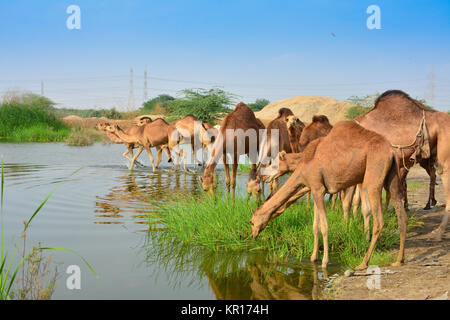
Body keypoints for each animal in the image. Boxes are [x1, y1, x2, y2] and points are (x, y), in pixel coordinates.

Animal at [250, 120, 408, 270]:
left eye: (251, 222)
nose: (252, 234)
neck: (302, 165)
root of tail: (391, 151)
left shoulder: (318, 188)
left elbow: (324, 227)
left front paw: (324, 262)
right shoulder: (317, 189)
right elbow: (315, 226)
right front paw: (313, 257)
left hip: (373, 179)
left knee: (378, 220)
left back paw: (363, 263)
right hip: (393, 179)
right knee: (402, 217)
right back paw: (399, 260)